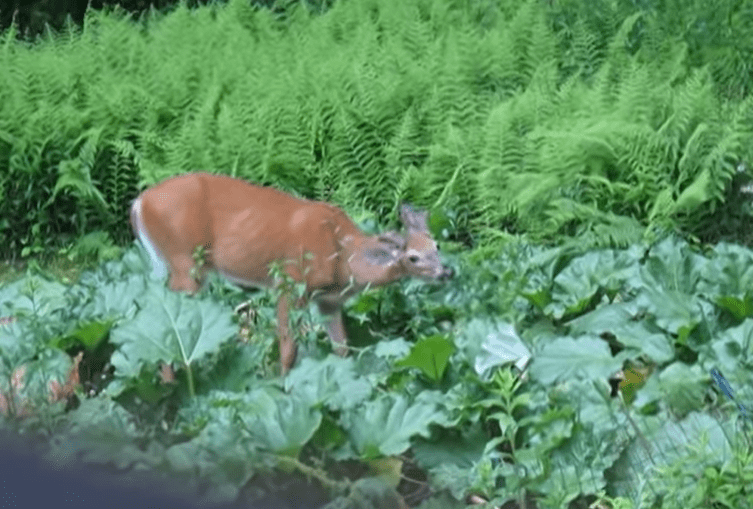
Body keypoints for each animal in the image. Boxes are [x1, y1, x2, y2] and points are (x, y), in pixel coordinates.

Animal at [130, 172, 453, 374]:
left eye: (437, 245)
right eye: (413, 257)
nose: (445, 273)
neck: (342, 258)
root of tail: (138, 203)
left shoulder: (328, 300)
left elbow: (342, 348)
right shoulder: (290, 284)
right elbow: (288, 349)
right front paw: (281, 387)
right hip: (185, 262)